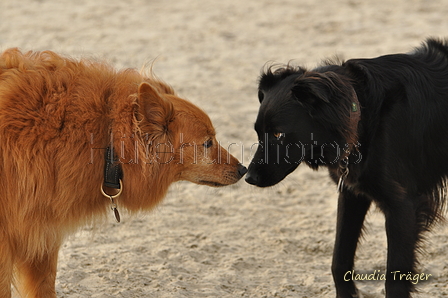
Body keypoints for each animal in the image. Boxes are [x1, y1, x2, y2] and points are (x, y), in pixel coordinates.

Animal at [245, 38, 448, 296]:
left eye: (278, 134)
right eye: (258, 133)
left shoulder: (403, 206)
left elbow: (394, 280)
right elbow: (339, 260)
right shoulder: (352, 193)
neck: (362, 115)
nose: (248, 177)